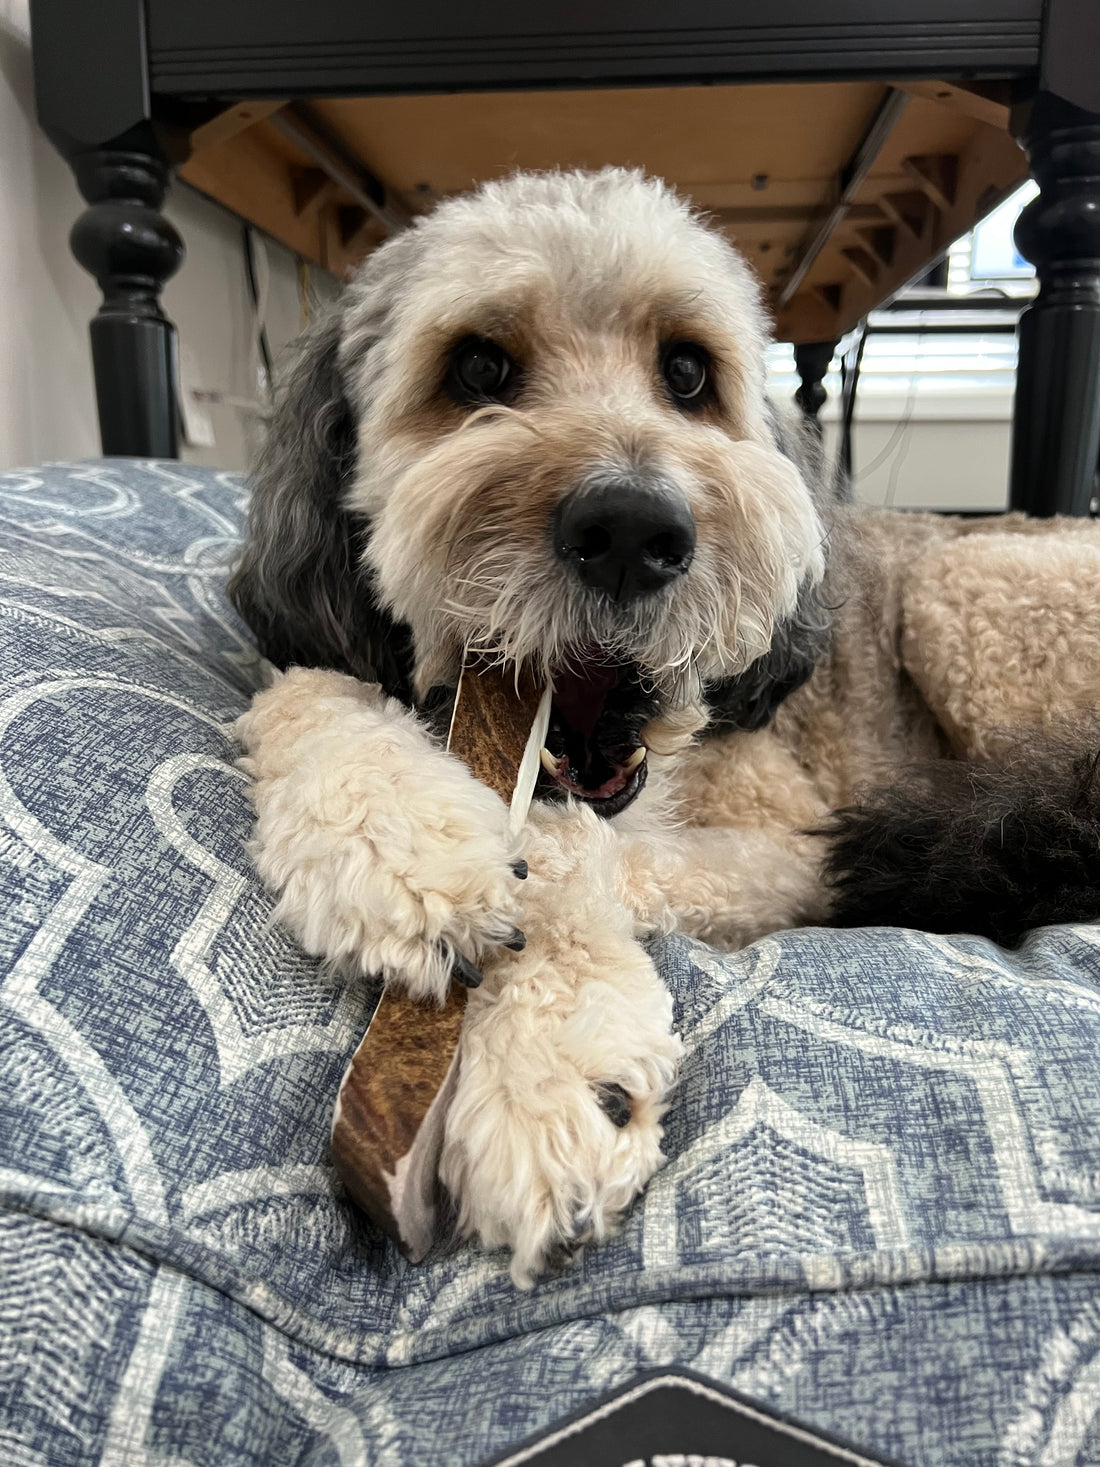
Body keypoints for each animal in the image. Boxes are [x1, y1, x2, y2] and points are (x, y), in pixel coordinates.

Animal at [225, 163, 1100, 1285]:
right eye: (478, 367)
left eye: (687, 372)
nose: (633, 529)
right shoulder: (319, 662)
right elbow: (302, 693)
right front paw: (398, 854)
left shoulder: (790, 848)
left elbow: (574, 859)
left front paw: (548, 1065)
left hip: (966, 596)